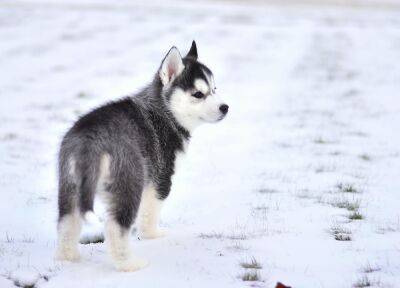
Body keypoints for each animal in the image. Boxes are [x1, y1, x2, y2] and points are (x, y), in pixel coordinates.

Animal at [55, 41, 228, 272]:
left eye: (214, 89)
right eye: (198, 94)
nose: (225, 108)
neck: (165, 111)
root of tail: (90, 140)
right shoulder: (161, 176)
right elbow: (150, 211)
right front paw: (152, 235)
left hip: (70, 185)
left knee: (67, 223)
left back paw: (68, 259)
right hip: (128, 181)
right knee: (115, 227)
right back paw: (129, 264)